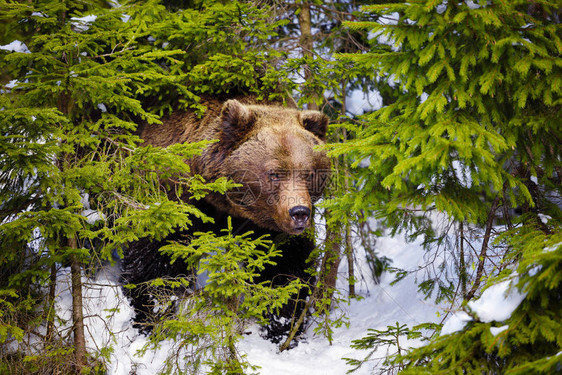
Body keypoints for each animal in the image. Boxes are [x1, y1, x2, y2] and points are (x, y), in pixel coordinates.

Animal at [120, 97, 326, 344]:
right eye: (275, 173)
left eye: (308, 173)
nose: (299, 212)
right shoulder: (175, 197)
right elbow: (157, 260)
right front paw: (152, 316)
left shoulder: (270, 227)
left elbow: (285, 270)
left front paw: (282, 327)